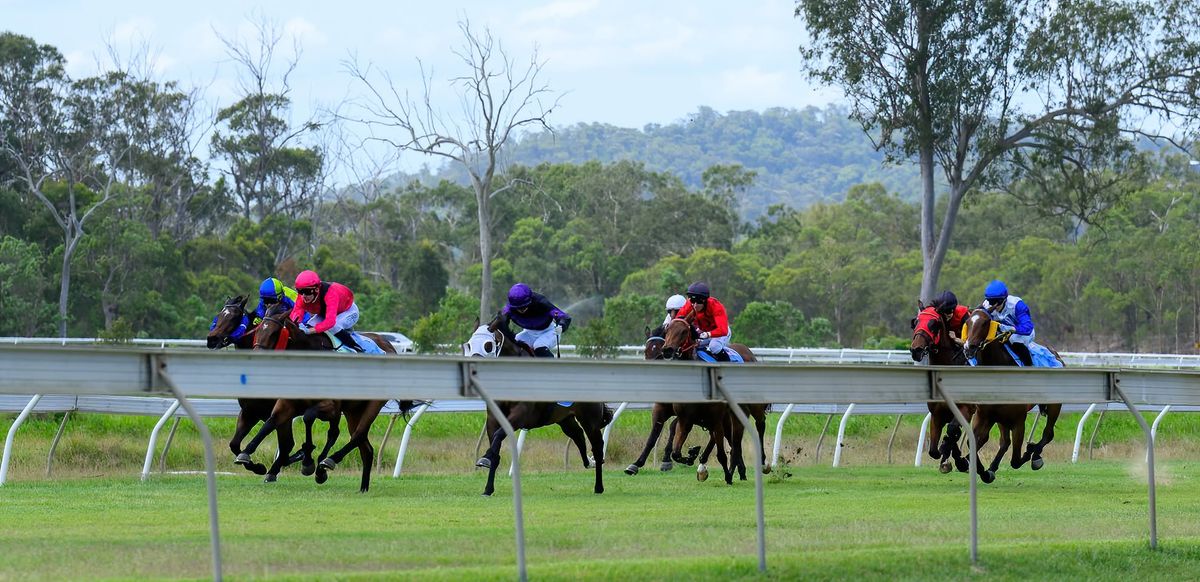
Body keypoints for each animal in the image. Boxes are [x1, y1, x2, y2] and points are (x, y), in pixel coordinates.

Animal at [465, 314, 614, 496]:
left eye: (488, 345)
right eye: (469, 344)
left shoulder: (520, 415)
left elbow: (499, 436)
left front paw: (486, 459)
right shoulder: (493, 417)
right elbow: (495, 446)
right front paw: (487, 486)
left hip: (590, 420)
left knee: (597, 447)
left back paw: (598, 486)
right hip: (565, 419)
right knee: (578, 435)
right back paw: (588, 463)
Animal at [657, 314, 768, 482]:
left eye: (683, 331)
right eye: (667, 330)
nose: (667, 350)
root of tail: (748, 352)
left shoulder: (715, 418)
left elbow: (721, 453)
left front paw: (727, 475)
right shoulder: (686, 420)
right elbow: (676, 453)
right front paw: (692, 456)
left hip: (752, 406)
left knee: (759, 424)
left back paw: (762, 463)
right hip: (733, 413)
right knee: (734, 440)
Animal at [907, 303, 974, 472]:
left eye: (934, 324)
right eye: (916, 322)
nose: (916, 350)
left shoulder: (967, 409)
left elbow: (952, 430)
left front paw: (959, 460)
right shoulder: (937, 414)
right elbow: (934, 450)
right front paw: (949, 457)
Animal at [960, 306, 1065, 482]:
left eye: (985, 323)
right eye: (967, 322)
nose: (969, 348)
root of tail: (1055, 354)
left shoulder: (1018, 421)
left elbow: (1015, 460)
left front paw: (1030, 450)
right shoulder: (985, 416)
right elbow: (973, 442)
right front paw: (981, 470)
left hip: (1054, 406)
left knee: (1048, 434)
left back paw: (1036, 455)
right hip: (1001, 418)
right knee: (1005, 442)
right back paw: (992, 467)